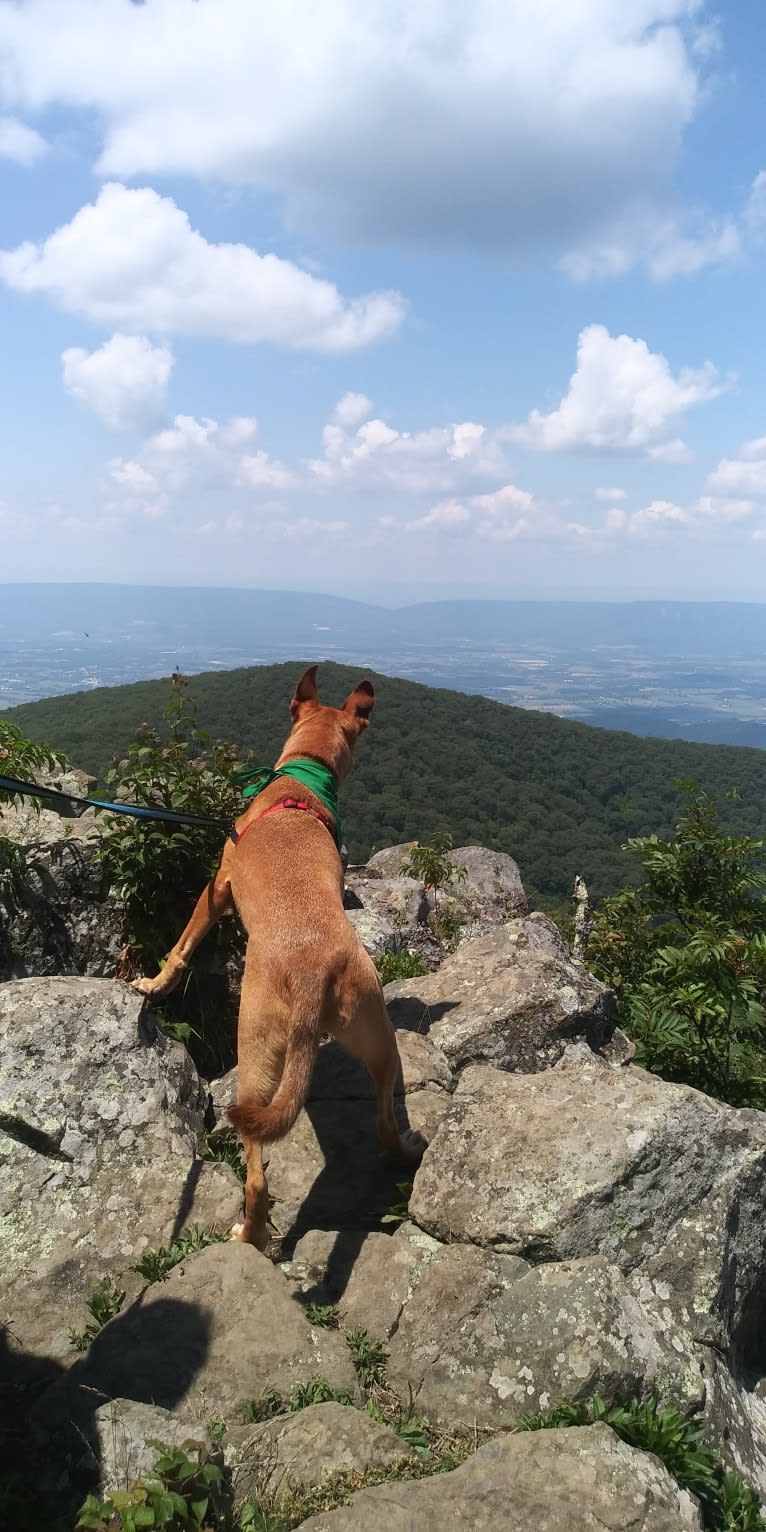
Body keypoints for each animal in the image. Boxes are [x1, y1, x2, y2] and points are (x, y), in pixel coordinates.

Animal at [128, 664, 422, 1250]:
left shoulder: (217, 887)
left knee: (257, 1175)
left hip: (256, 1058)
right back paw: (404, 1155)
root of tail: (311, 971)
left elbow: (182, 945)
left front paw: (155, 985)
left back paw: (249, 1234)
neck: (302, 778)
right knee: (383, 1123)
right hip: (380, 1038)